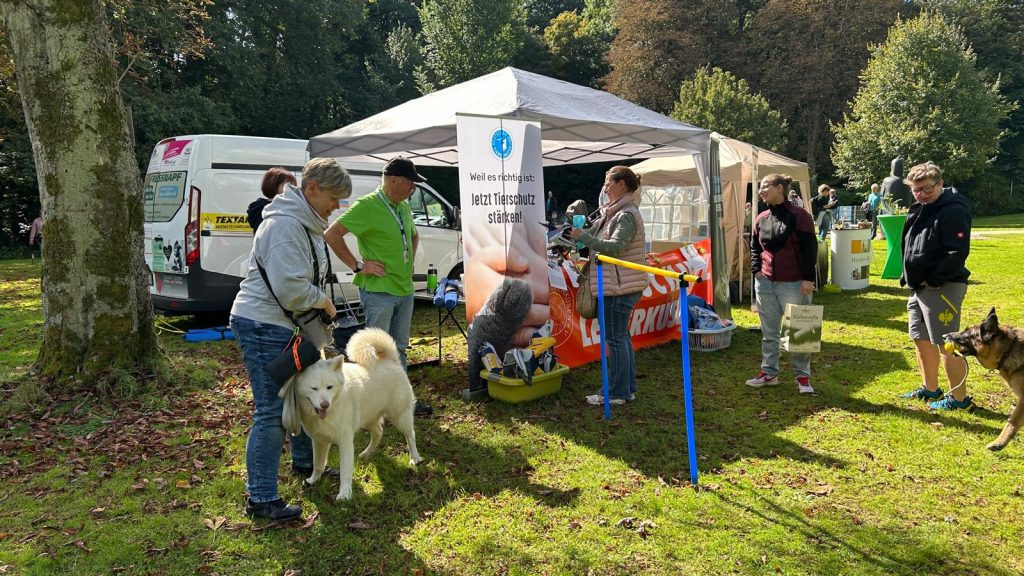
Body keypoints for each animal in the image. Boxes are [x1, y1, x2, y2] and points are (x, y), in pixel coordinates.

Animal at [293, 326, 421, 500]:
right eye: (314, 388)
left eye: (329, 387)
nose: (325, 405)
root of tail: (391, 360)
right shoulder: (319, 441)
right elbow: (318, 464)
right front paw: (313, 480)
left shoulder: (345, 442)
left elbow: (345, 472)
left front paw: (345, 494)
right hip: (368, 418)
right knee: (378, 432)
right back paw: (367, 453)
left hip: (400, 416)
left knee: (410, 435)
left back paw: (415, 458)